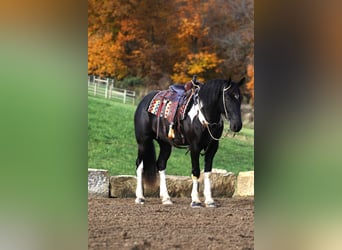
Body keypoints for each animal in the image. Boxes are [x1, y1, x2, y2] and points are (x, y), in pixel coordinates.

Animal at [134, 77, 246, 208]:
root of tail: (144, 100)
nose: (237, 125)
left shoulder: (212, 148)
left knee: (161, 165)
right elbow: (196, 172)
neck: (203, 115)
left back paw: (166, 198)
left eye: (240, 98)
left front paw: (209, 200)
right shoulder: (194, 147)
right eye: (227, 97)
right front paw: (196, 200)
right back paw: (140, 197)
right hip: (143, 142)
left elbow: (208, 172)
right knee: (140, 165)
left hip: (165, 144)